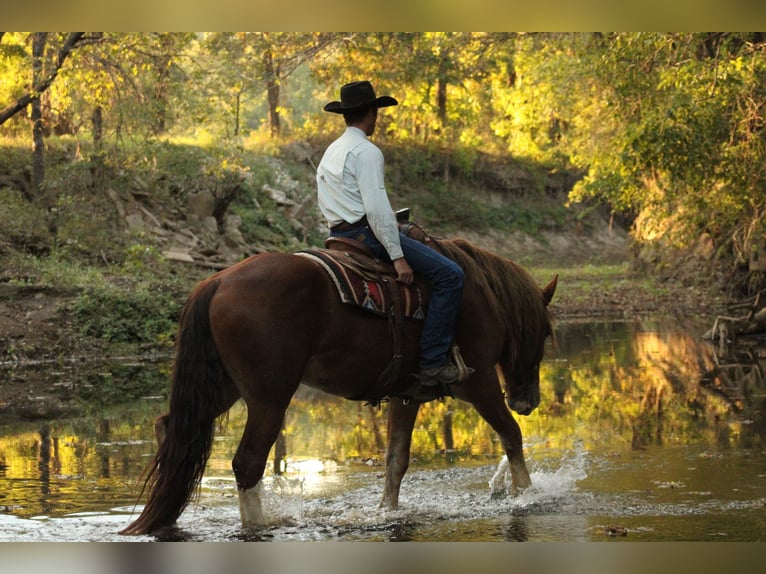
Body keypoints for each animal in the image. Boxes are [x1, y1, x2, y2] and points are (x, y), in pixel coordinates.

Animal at [120, 236, 557, 535]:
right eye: (545, 332)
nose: (528, 400)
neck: (479, 294)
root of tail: (219, 281)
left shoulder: (407, 395)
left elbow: (396, 460)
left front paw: (387, 511)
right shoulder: (480, 382)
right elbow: (512, 435)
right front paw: (526, 492)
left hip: (221, 387)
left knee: (172, 431)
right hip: (269, 397)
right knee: (248, 462)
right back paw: (260, 524)